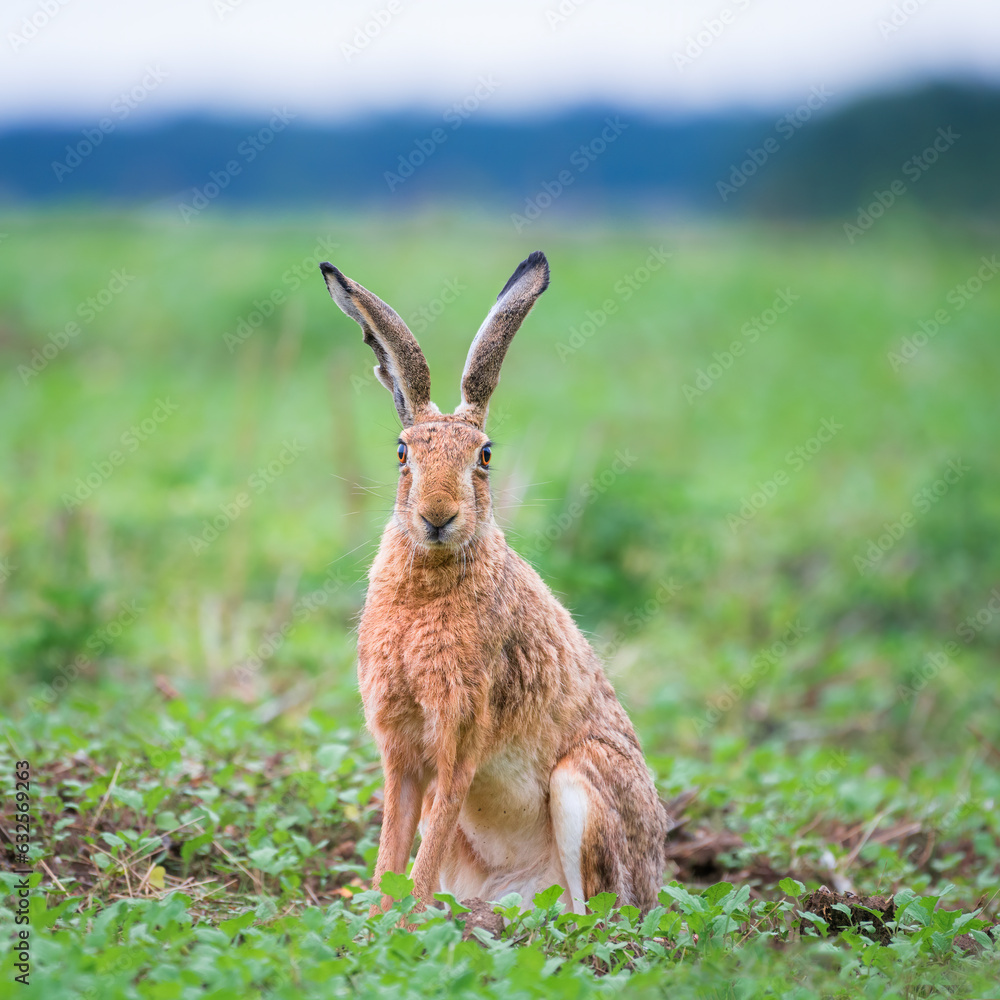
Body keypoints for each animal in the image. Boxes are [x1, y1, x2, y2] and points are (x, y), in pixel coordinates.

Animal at [319, 251, 667, 915]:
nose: (437, 515)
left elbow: (420, 857)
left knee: (592, 915)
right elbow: (392, 852)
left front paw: (404, 924)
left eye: (484, 456)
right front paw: (375, 921)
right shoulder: (402, 753)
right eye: (401, 452)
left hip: (582, 788)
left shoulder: (462, 734)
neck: (431, 576)